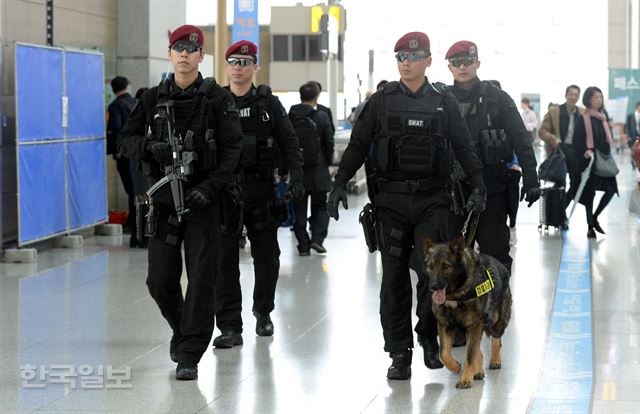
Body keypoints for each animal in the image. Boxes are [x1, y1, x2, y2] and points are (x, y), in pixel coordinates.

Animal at [422, 234, 512, 390]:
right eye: (430, 266)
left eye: (446, 266)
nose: (432, 286)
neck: (456, 294)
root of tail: (502, 267)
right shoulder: (445, 325)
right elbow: (444, 354)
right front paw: (456, 366)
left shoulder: (474, 325)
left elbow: (470, 355)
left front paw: (465, 379)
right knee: (478, 350)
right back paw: (478, 370)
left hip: (498, 322)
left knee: (496, 339)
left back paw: (495, 360)